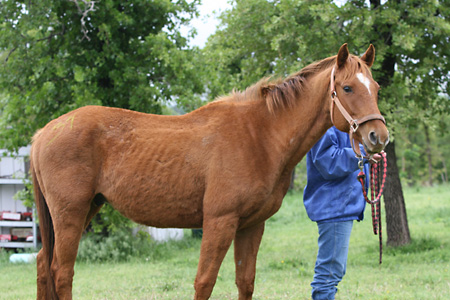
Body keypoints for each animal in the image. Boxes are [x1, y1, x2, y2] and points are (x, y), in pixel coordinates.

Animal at [30, 43, 390, 298]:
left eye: (375, 88)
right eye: (347, 88)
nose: (379, 137)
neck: (259, 135)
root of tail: (42, 133)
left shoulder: (251, 225)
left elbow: (245, 281)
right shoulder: (219, 221)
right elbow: (204, 281)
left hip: (86, 209)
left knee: (44, 264)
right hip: (71, 213)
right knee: (62, 272)